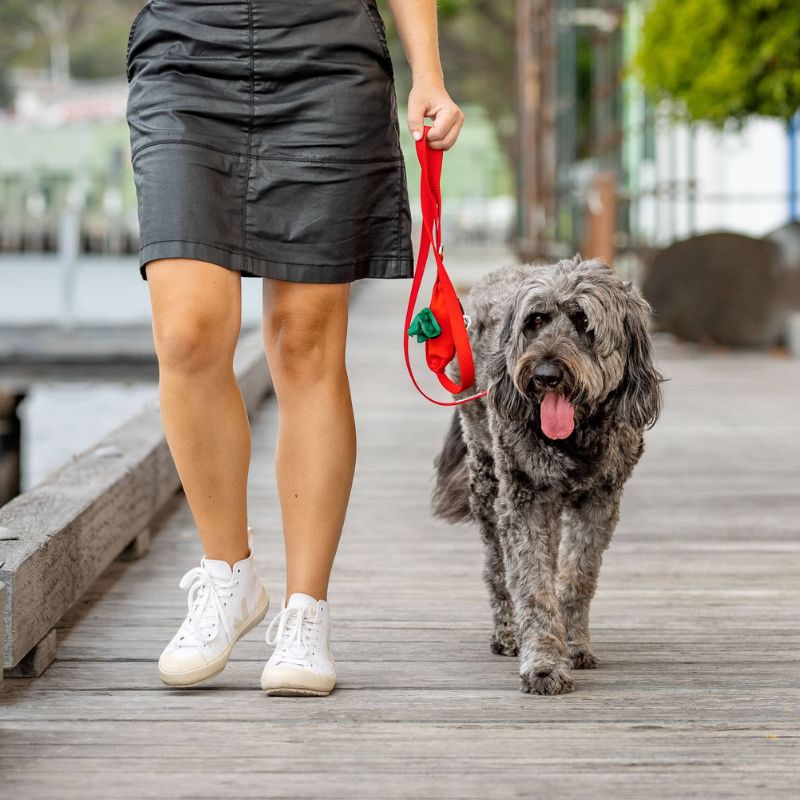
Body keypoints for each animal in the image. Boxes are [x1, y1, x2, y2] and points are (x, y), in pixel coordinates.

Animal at [432, 256, 664, 692]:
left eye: (584, 322)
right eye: (535, 321)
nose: (544, 375)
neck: (573, 438)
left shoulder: (600, 500)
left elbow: (578, 576)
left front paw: (573, 645)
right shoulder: (526, 501)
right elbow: (533, 585)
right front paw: (542, 662)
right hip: (486, 481)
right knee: (497, 568)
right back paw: (508, 633)